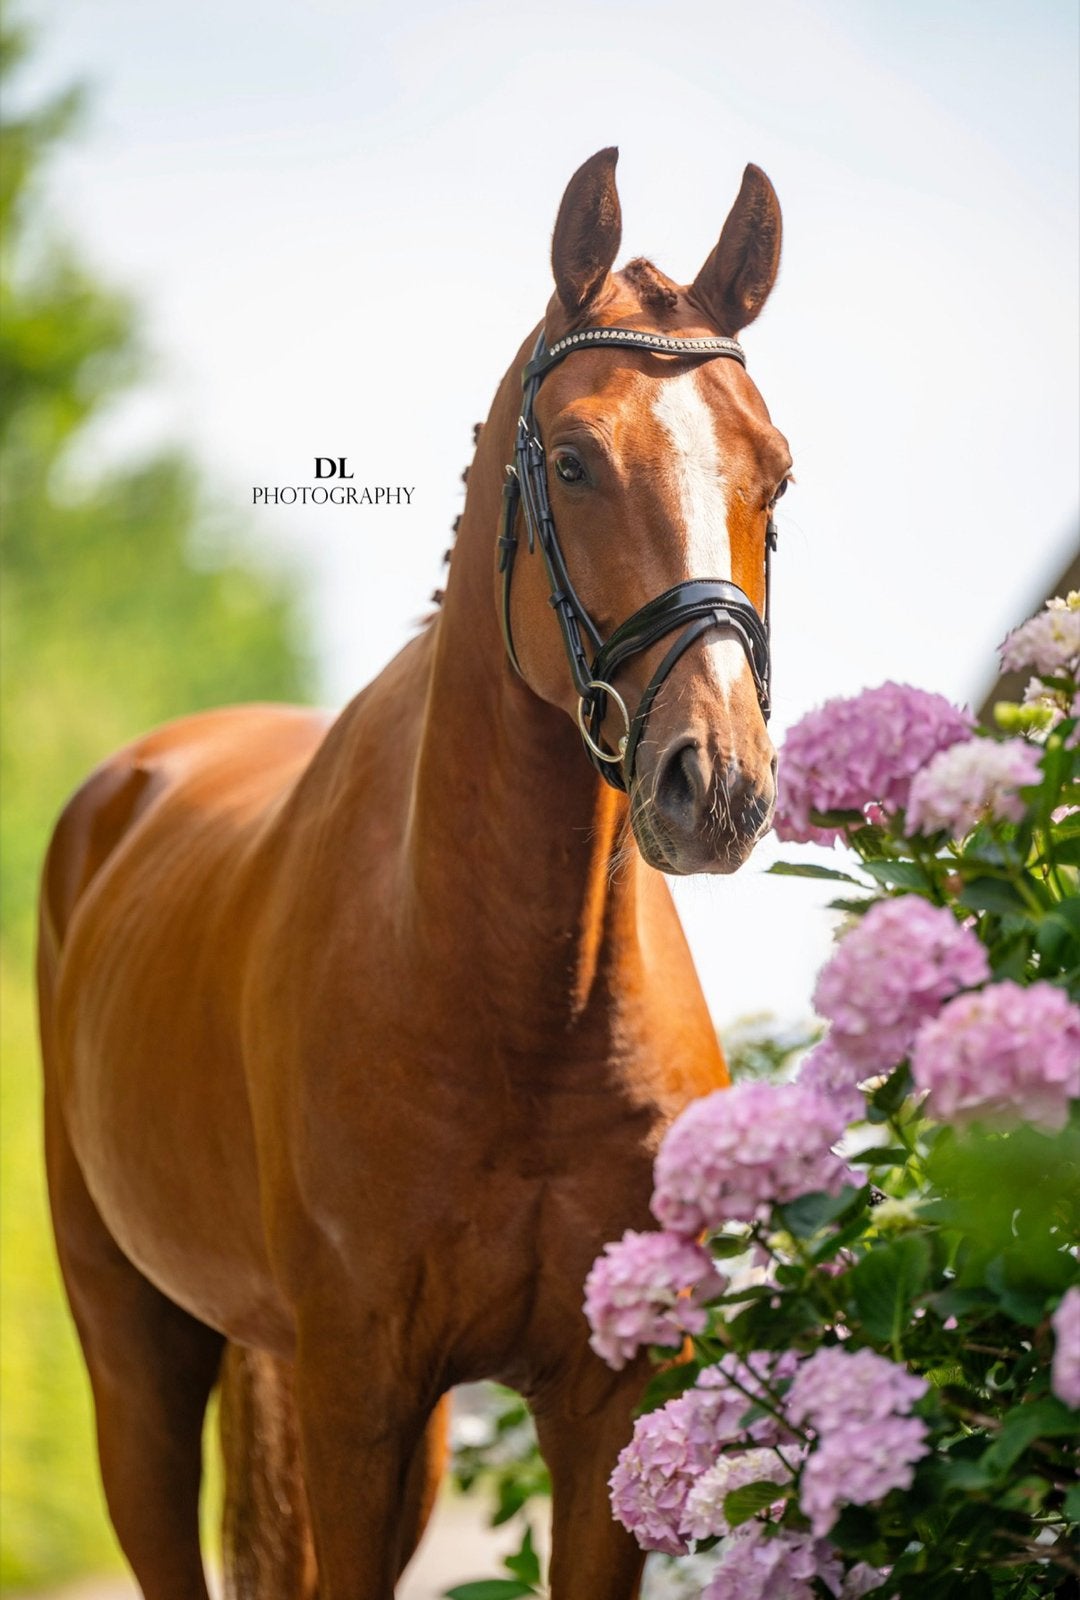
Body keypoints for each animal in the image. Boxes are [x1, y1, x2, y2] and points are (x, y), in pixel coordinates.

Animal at [36, 146, 791, 1598]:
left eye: (775, 473)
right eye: (572, 459)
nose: (715, 782)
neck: (518, 1007)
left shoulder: (601, 1404)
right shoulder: (358, 1398)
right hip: (135, 1350)